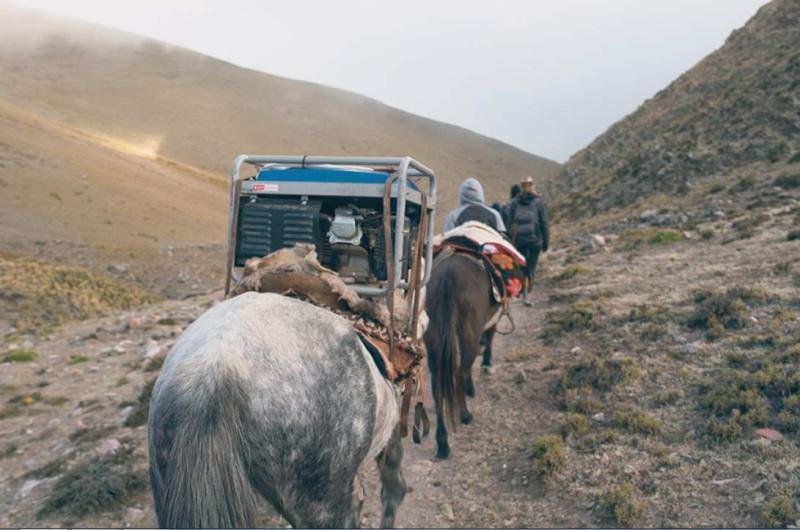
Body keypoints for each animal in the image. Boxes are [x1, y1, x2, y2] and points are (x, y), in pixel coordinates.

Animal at [424, 250, 500, 456]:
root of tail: (447, 277)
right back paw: (465, 414)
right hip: (468, 336)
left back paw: (443, 442)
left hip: (433, 340)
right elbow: (489, 338)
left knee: (438, 385)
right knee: (460, 370)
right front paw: (486, 365)